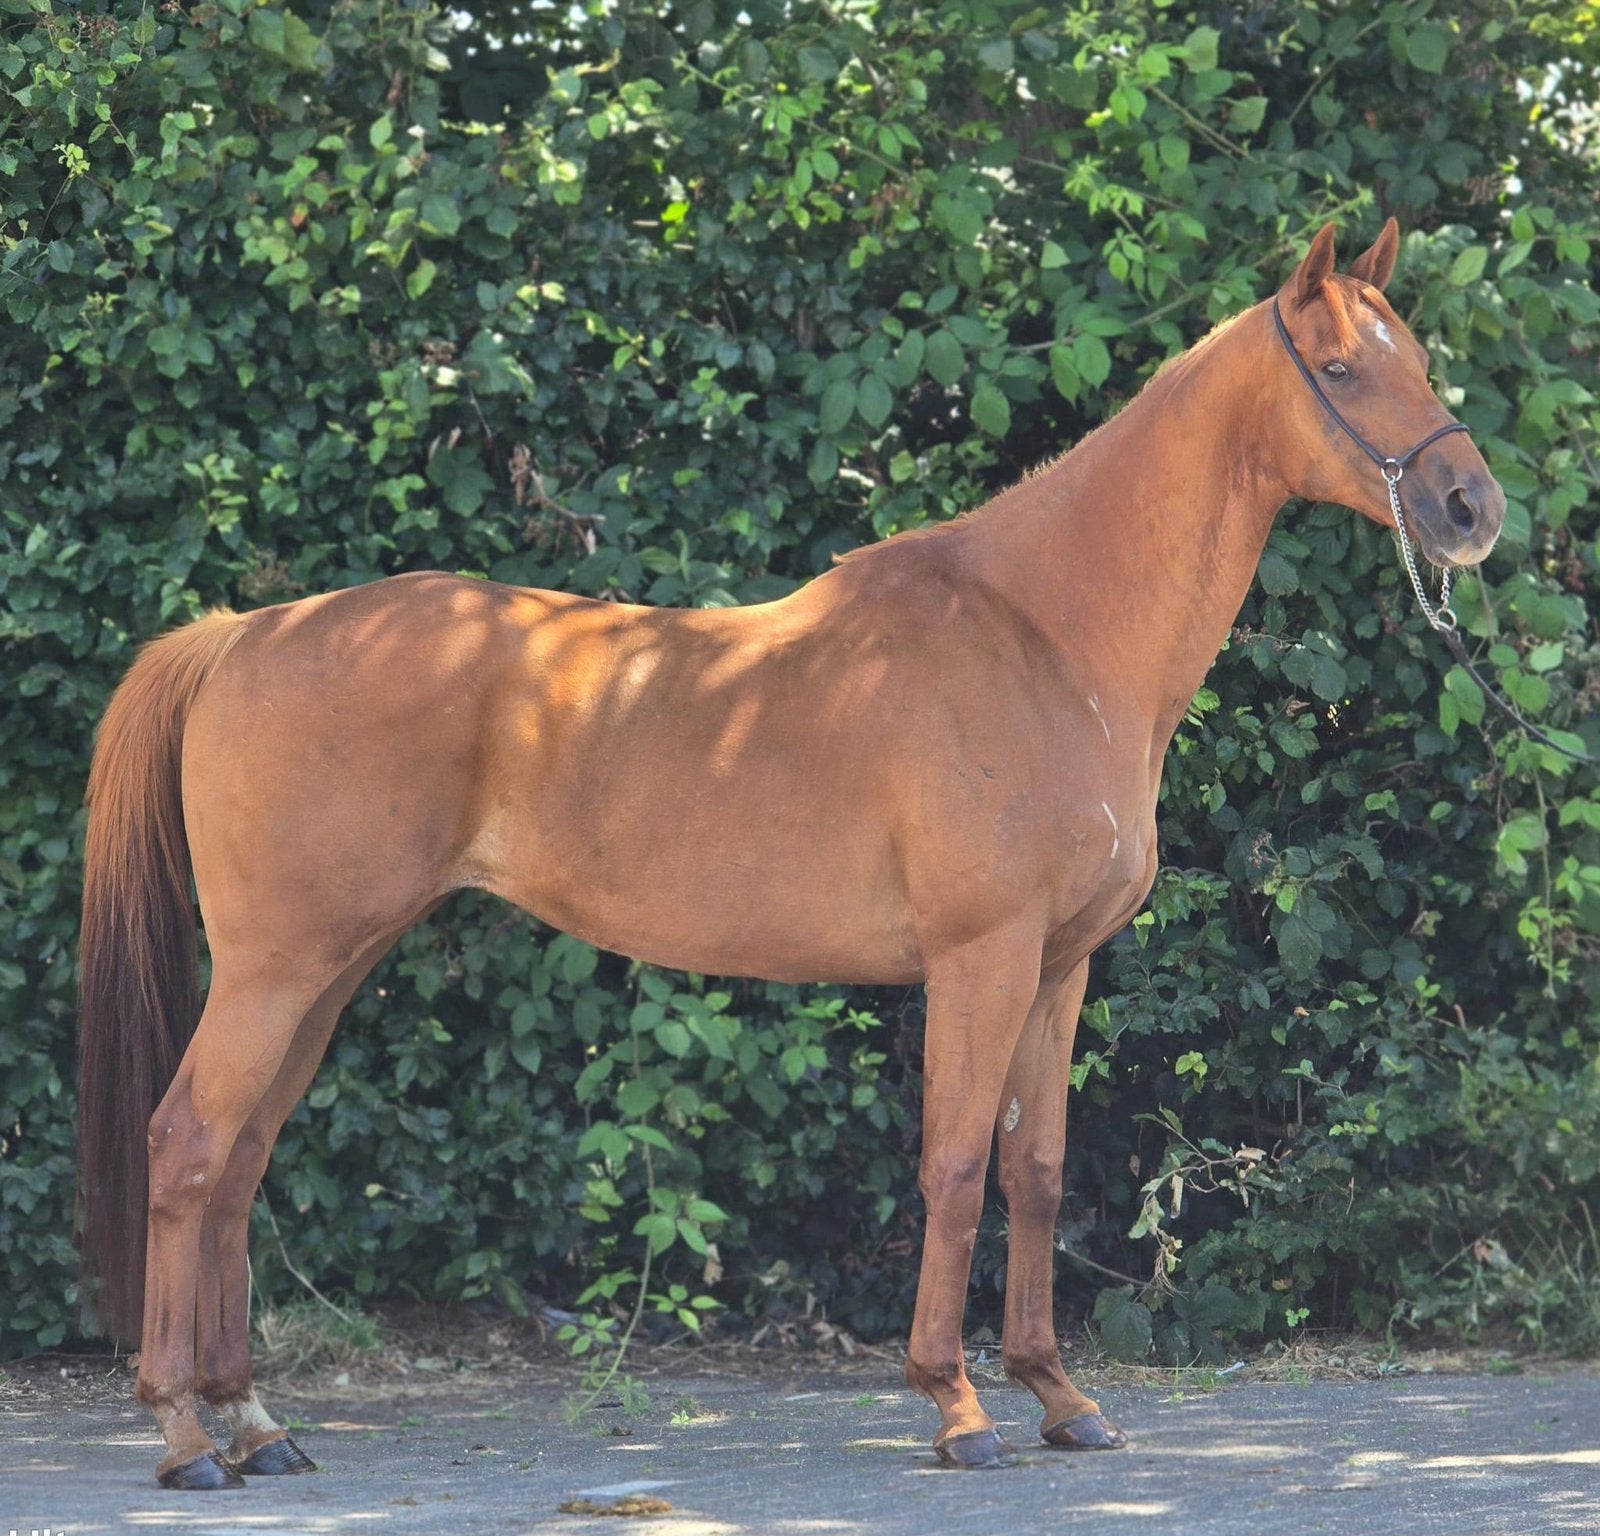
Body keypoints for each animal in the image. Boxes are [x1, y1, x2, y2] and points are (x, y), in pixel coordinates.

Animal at [77, 219, 1504, 1487]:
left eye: (1421, 355)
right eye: (1339, 369)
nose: (1468, 507)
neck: (1044, 635)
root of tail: (243, 633)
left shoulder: (1059, 968)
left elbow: (1036, 1173)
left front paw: (1061, 1398)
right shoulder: (979, 958)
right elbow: (954, 1167)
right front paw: (956, 1407)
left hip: (327, 970)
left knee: (240, 1163)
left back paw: (256, 1423)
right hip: (278, 968)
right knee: (188, 1147)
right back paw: (186, 1435)